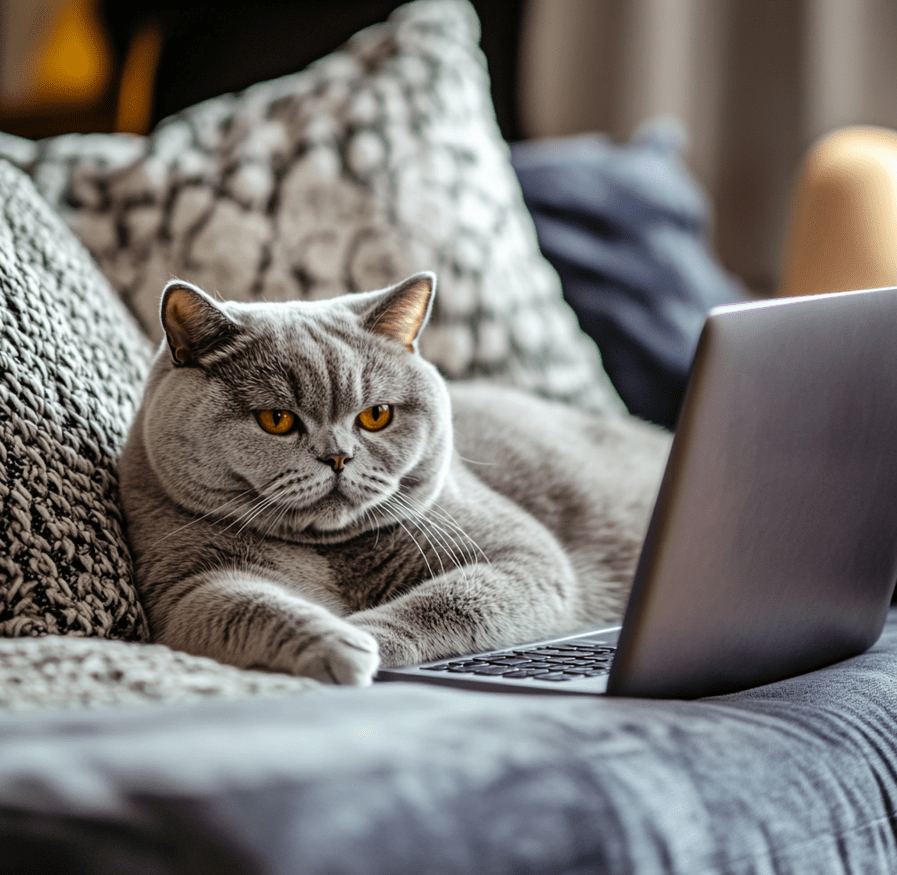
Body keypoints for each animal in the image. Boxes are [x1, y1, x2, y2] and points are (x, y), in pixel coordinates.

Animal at [119, 274, 668, 684]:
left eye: (376, 416)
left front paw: (371, 636)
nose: (338, 457)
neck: (332, 554)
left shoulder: (524, 558)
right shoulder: (182, 589)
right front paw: (340, 642)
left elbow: (449, 602)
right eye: (277, 419)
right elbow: (248, 603)